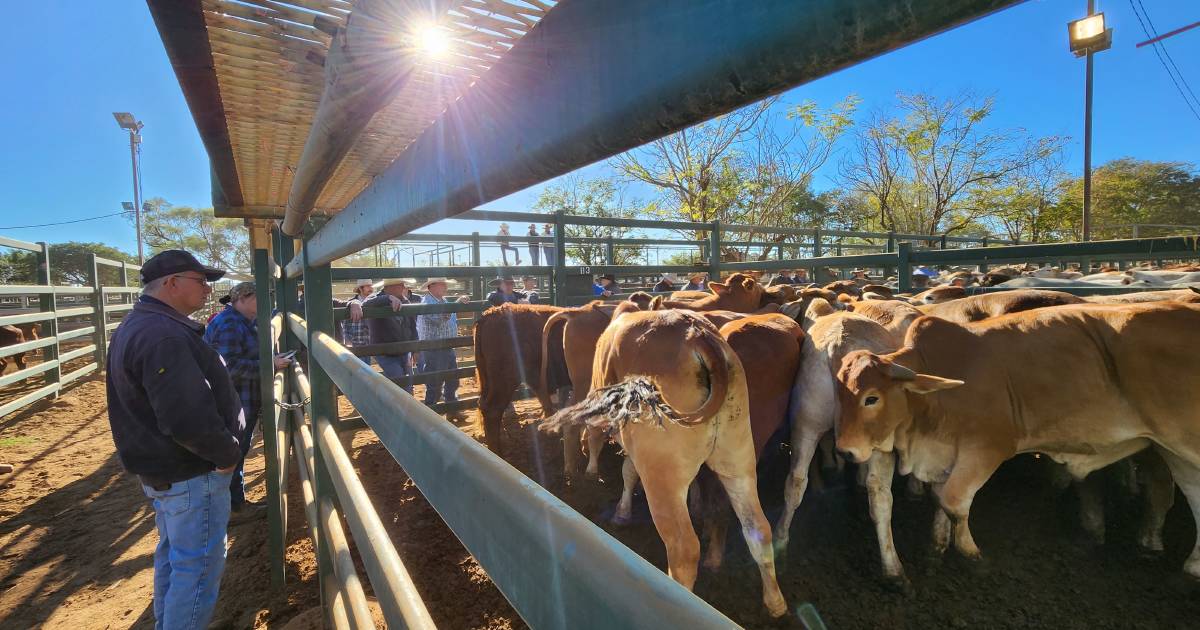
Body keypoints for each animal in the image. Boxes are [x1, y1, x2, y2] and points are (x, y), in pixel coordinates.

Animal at [544, 304, 787, 614]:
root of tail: (698, 335)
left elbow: (608, 451)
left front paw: (588, 475)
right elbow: (628, 469)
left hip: (663, 476)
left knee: (683, 548)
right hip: (738, 460)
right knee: (758, 528)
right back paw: (775, 602)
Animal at [835, 302, 1200, 578]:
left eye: (871, 398)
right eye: (840, 393)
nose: (845, 450)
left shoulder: (988, 446)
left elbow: (954, 501)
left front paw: (973, 556)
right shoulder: (947, 452)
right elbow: (941, 500)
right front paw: (936, 550)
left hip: (1184, 442)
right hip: (1172, 450)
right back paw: (1191, 565)